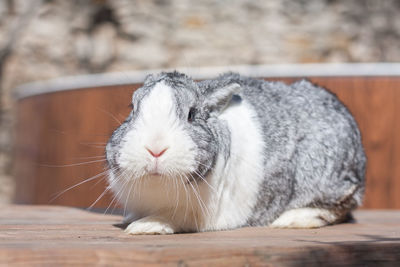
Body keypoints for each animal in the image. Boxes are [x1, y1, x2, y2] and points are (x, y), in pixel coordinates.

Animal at [105, 72, 366, 236]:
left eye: (191, 114)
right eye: (132, 109)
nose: (155, 149)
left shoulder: (200, 213)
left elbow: (171, 217)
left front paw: (144, 227)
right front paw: (130, 220)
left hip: (334, 185)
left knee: (337, 208)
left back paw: (290, 220)